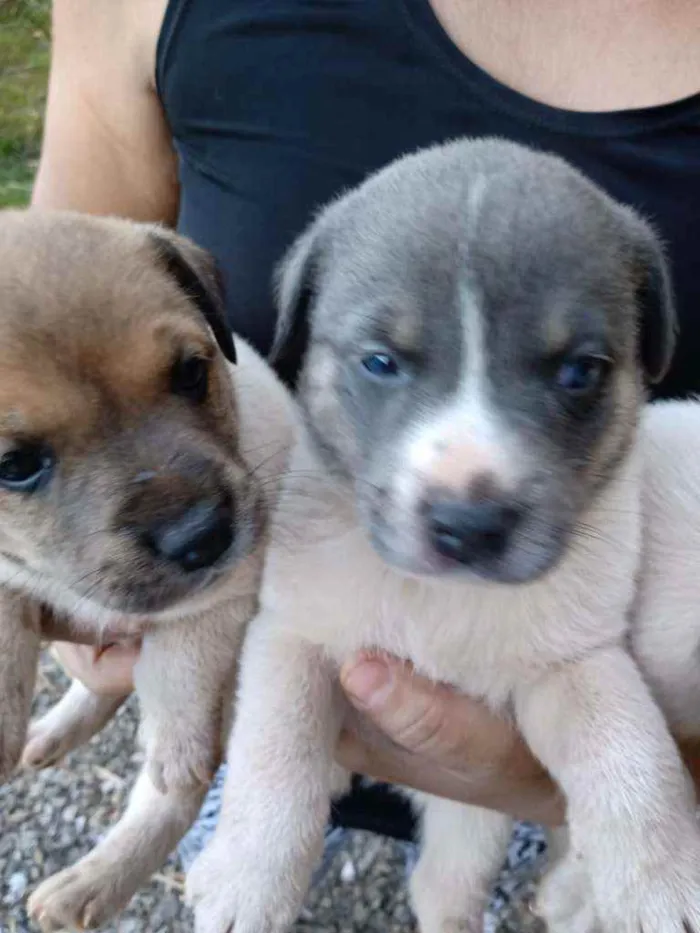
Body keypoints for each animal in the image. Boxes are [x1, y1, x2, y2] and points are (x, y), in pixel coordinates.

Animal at [0, 208, 296, 928]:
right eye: (14, 466)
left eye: (191, 373)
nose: (203, 536)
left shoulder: (221, 599)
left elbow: (178, 685)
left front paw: (174, 755)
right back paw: (48, 738)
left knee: (172, 789)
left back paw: (88, 886)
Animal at [186, 140, 700, 932]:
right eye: (379, 361)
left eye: (580, 372)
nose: (469, 524)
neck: (439, 599)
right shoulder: (295, 632)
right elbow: (277, 750)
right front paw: (248, 879)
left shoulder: (575, 660)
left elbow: (632, 758)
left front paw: (665, 886)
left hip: (474, 813)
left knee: (447, 884)